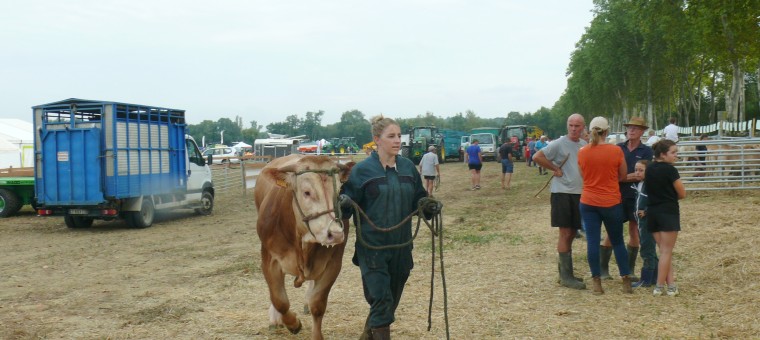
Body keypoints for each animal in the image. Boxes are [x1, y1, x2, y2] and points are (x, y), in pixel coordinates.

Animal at [252, 155, 354, 340]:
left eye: (338, 193)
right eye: (307, 192)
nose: (335, 234)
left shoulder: (333, 264)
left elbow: (318, 305)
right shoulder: (269, 261)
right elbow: (279, 300)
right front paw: (292, 323)